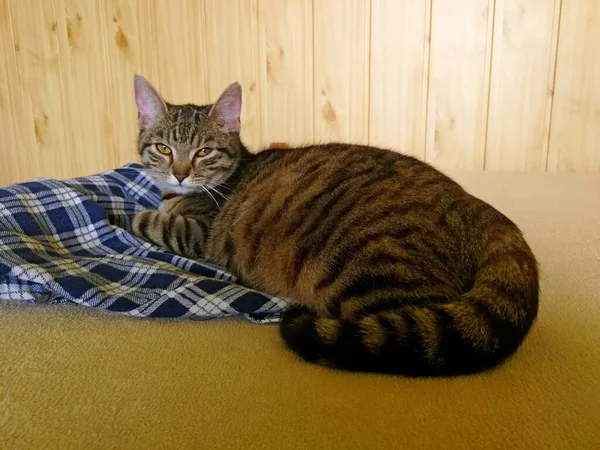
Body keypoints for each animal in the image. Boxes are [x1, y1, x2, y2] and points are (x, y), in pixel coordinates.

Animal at [131, 74, 540, 376]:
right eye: (164, 148)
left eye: (204, 151)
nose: (180, 173)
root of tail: (472, 204)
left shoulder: (199, 233)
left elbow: (147, 219)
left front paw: (128, 214)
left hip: (375, 273)